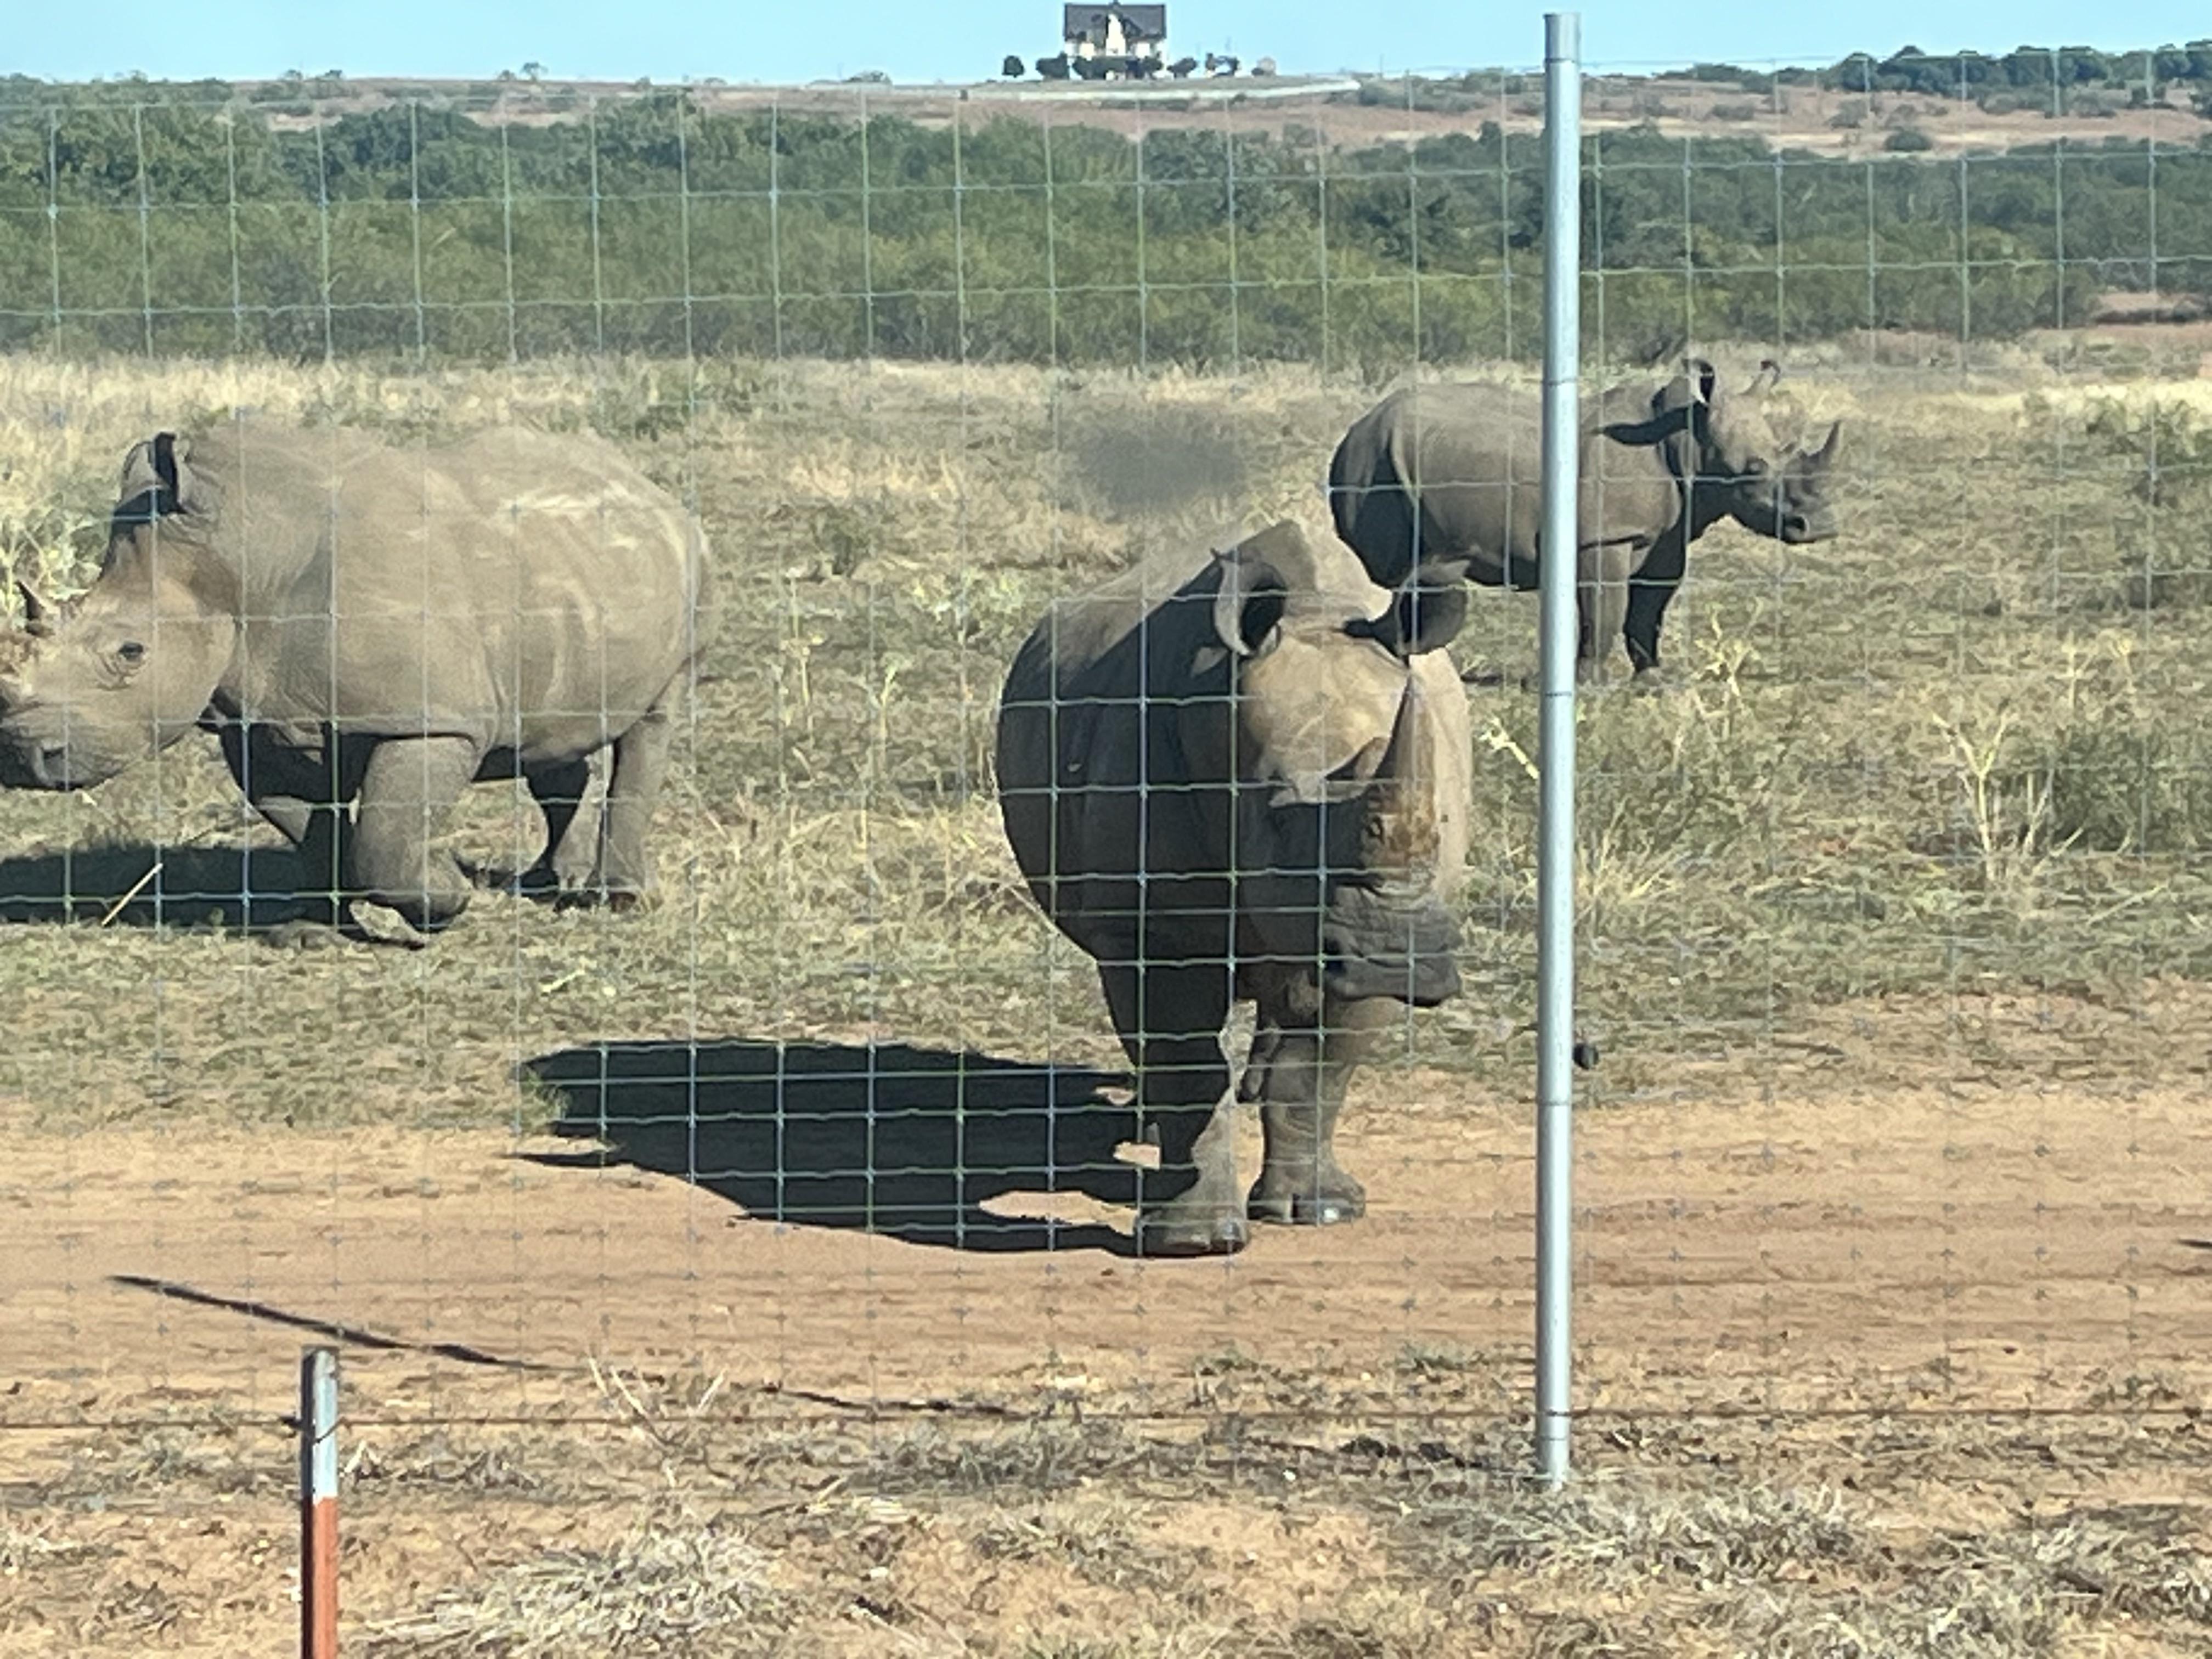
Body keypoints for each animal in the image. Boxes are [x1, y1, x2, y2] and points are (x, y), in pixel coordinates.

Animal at [0, 419, 716, 941]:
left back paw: (617, 901)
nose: (25, 757)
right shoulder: (261, 721)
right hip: (568, 578)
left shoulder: (427, 719)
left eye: (131, 652)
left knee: (653, 722)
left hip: (687, 571)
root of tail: (649, 488)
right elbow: (313, 829)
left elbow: (384, 841)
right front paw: (310, 932)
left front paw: (445, 897)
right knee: (548, 735)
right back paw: (546, 883)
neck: (238, 560)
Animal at [996, 521, 1471, 1256]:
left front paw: (1320, 1211)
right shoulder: (1148, 926)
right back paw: (1150, 1131)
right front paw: (1195, 1241)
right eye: (1276, 818)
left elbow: (1319, 1068)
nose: (1397, 958)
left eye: (1439, 823)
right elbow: (1186, 1063)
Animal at [1327, 358, 1843, 683]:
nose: (1818, 526)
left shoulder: (1666, 536)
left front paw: (1653, 680)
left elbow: (1647, 611)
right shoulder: (1604, 537)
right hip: (1374, 467)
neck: (1687, 438)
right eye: (1752, 471)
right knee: (1391, 571)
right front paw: (1591, 684)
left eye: (1787, 451)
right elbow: (1606, 609)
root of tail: (1355, 429)